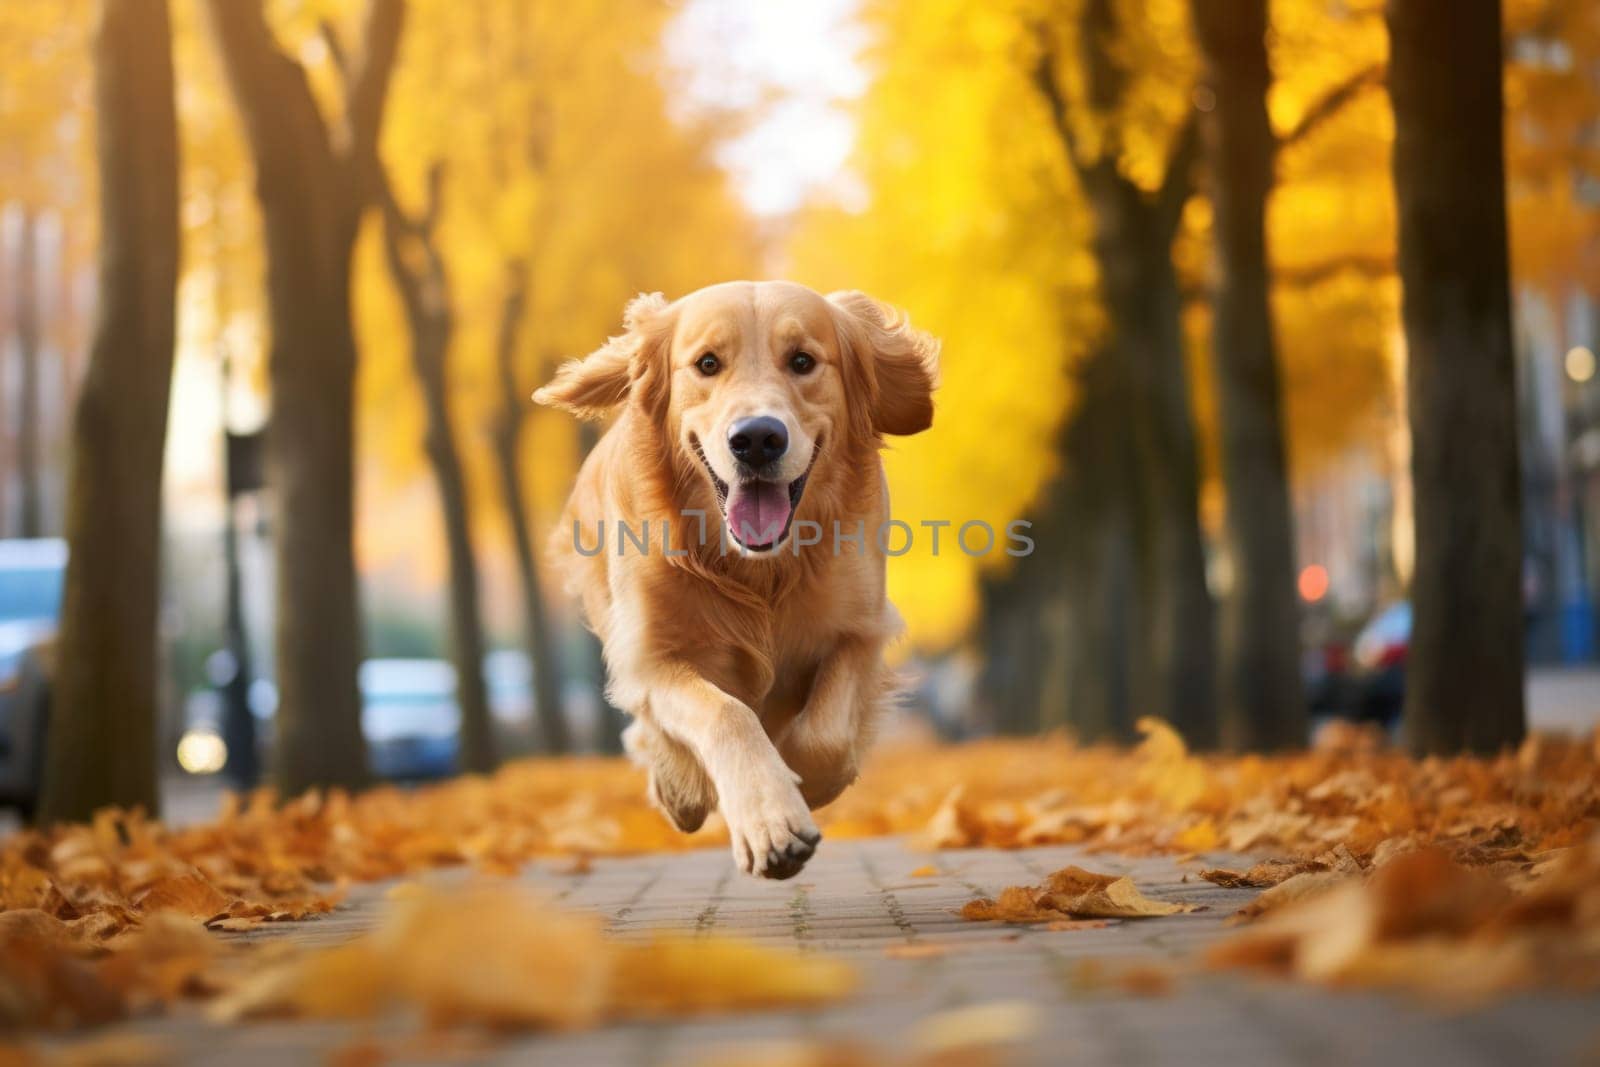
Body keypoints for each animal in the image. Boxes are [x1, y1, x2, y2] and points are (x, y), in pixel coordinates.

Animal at [537, 279, 934, 883]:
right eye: (707, 363)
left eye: (802, 361)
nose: (757, 438)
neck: (758, 571)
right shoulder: (656, 657)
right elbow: (725, 713)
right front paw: (768, 818)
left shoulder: (863, 629)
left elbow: (824, 735)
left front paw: (801, 788)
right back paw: (682, 790)